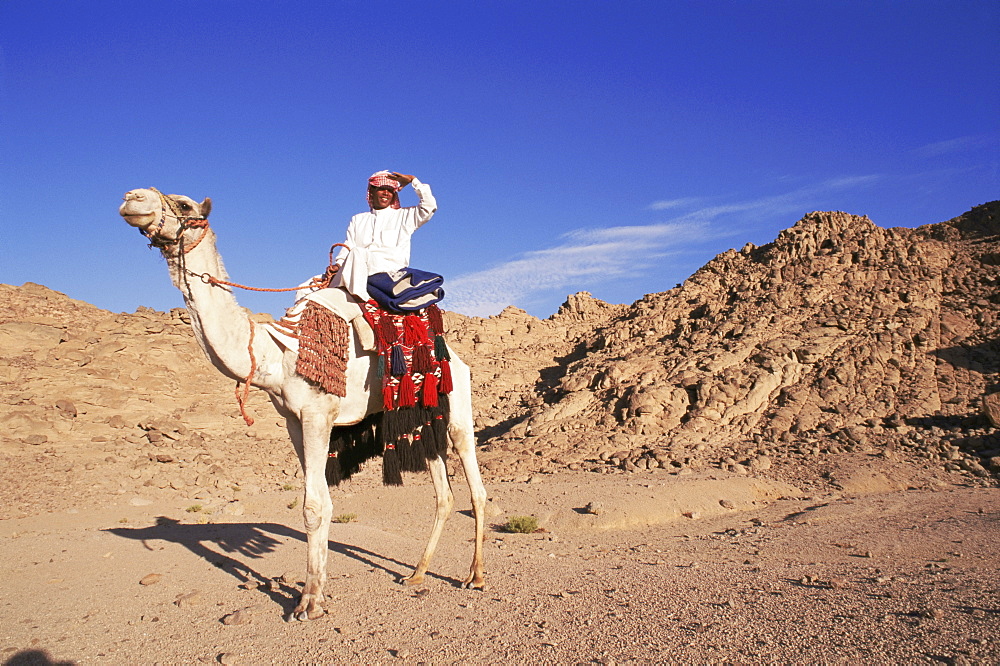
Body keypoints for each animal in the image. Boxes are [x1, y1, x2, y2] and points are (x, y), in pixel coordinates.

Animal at [117, 187, 488, 616]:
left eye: (184, 204)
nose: (132, 198)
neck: (276, 355)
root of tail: (456, 355)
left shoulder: (317, 413)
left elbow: (314, 507)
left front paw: (308, 601)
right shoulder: (293, 421)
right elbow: (318, 502)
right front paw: (318, 589)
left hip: (457, 400)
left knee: (474, 482)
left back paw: (475, 576)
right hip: (419, 412)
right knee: (443, 494)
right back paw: (416, 573)